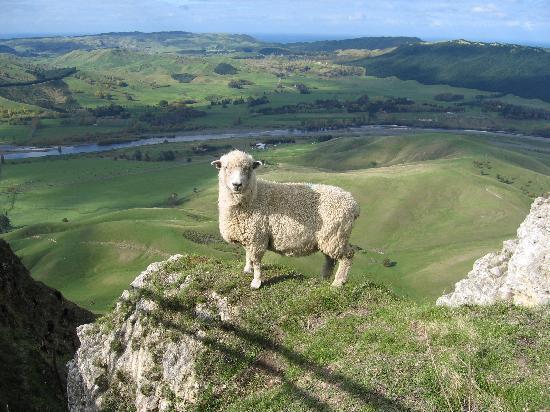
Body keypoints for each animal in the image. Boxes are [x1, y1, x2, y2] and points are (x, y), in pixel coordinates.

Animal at [212, 150, 362, 288]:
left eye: (248, 168)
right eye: (226, 167)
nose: (237, 184)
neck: (254, 197)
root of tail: (353, 203)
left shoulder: (258, 237)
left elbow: (257, 261)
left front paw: (256, 281)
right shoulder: (249, 235)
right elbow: (248, 254)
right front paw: (247, 269)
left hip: (336, 235)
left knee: (347, 256)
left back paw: (338, 282)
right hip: (329, 238)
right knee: (330, 259)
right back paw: (324, 277)